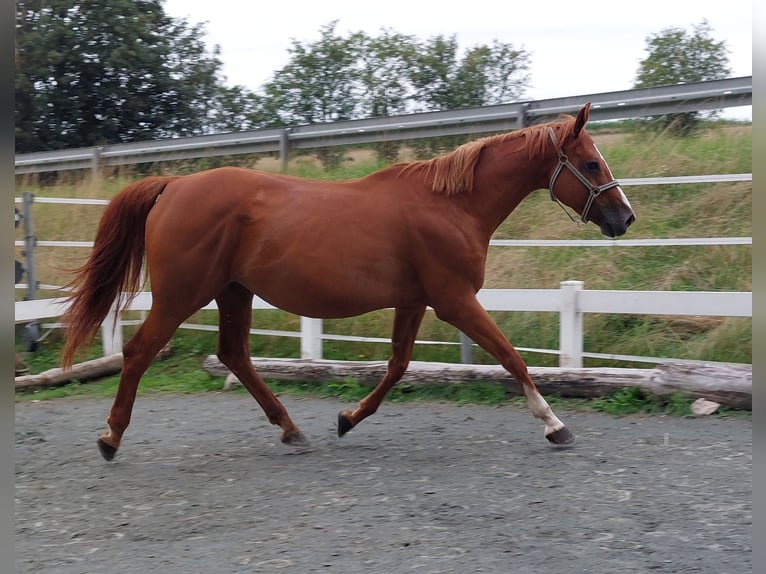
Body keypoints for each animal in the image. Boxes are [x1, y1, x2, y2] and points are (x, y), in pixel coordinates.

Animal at [61, 103, 636, 464]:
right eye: (590, 163)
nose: (624, 218)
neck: (452, 206)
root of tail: (174, 184)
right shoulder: (454, 300)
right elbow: (511, 357)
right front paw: (554, 425)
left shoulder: (415, 301)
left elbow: (398, 365)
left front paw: (347, 418)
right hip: (184, 293)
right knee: (140, 351)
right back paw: (110, 437)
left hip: (233, 291)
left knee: (234, 355)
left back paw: (292, 430)